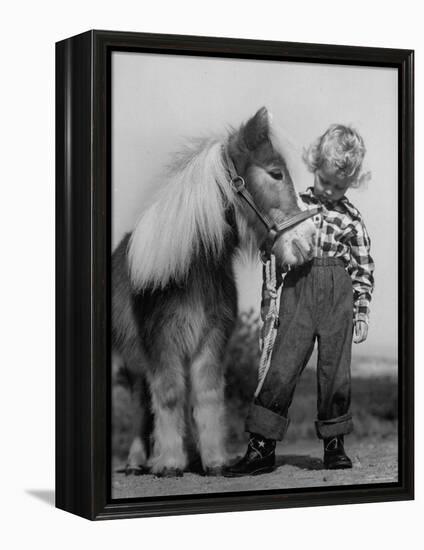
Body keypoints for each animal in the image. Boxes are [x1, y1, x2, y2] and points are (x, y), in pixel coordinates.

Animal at [112, 109, 314, 478]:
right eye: (276, 173)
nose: (306, 242)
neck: (189, 269)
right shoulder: (162, 344)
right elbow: (169, 396)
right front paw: (169, 462)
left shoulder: (210, 340)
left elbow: (206, 396)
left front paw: (214, 460)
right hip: (134, 362)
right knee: (143, 405)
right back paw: (137, 461)